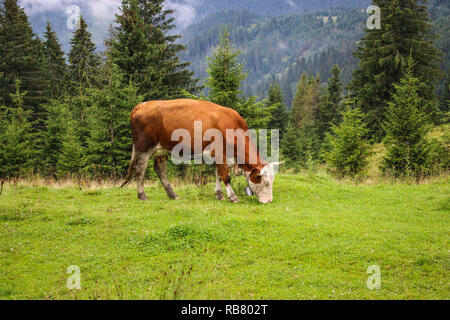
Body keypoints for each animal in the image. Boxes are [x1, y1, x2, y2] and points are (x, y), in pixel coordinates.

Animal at [120, 99, 282, 204]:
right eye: (265, 182)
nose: (269, 200)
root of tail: (142, 105)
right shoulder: (219, 152)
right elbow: (226, 176)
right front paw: (232, 197)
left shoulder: (222, 156)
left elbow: (218, 174)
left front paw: (219, 195)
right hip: (144, 147)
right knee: (140, 169)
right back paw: (142, 195)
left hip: (161, 149)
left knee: (160, 170)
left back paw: (172, 194)